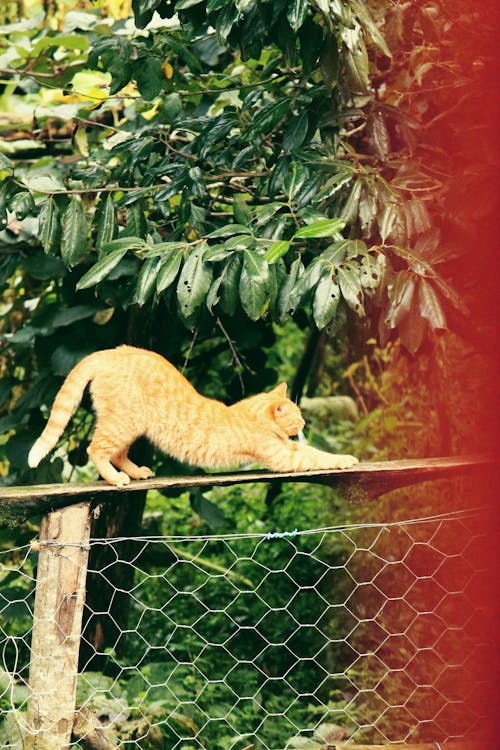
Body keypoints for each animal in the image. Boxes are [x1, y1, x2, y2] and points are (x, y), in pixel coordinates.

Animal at [27, 346, 358, 488]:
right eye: (298, 416)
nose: (304, 424)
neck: (249, 415)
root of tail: (110, 352)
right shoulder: (282, 456)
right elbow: (315, 457)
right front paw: (346, 459)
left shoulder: (287, 447)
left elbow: (317, 452)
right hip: (121, 423)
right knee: (95, 449)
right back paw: (117, 479)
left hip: (131, 426)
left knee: (118, 453)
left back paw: (137, 472)